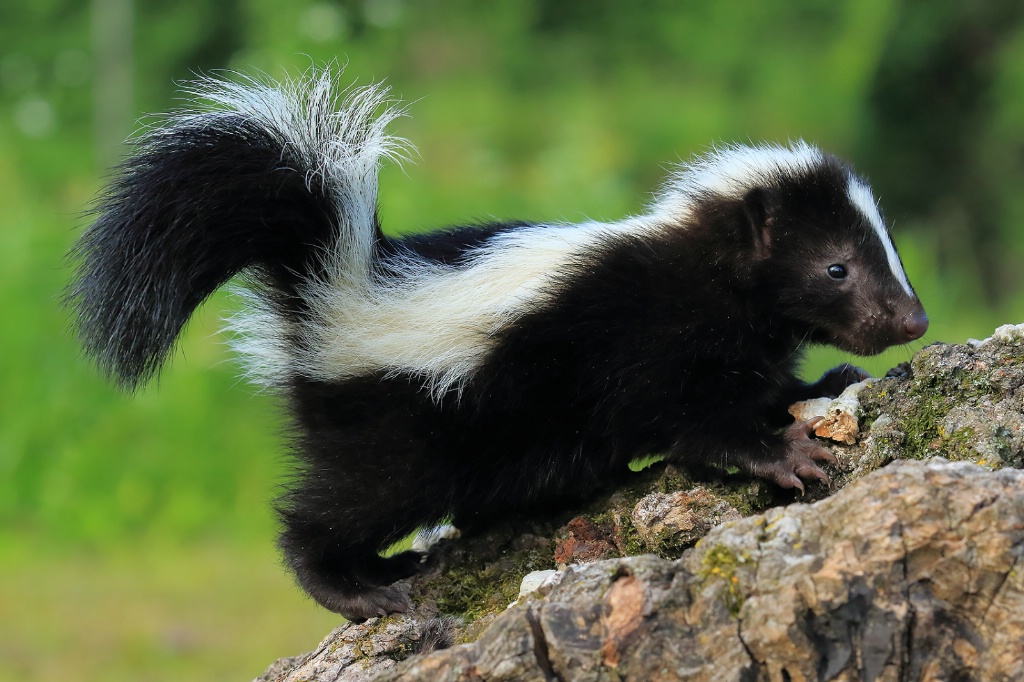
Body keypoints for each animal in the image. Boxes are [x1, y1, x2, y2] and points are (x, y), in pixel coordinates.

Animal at [66, 70, 929, 622]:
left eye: (885, 252)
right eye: (836, 267)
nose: (912, 321)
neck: (695, 266)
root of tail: (332, 287)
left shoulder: (735, 344)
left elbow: (758, 385)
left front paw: (823, 383)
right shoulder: (644, 343)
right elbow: (694, 419)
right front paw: (784, 453)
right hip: (395, 435)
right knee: (331, 511)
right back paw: (362, 587)